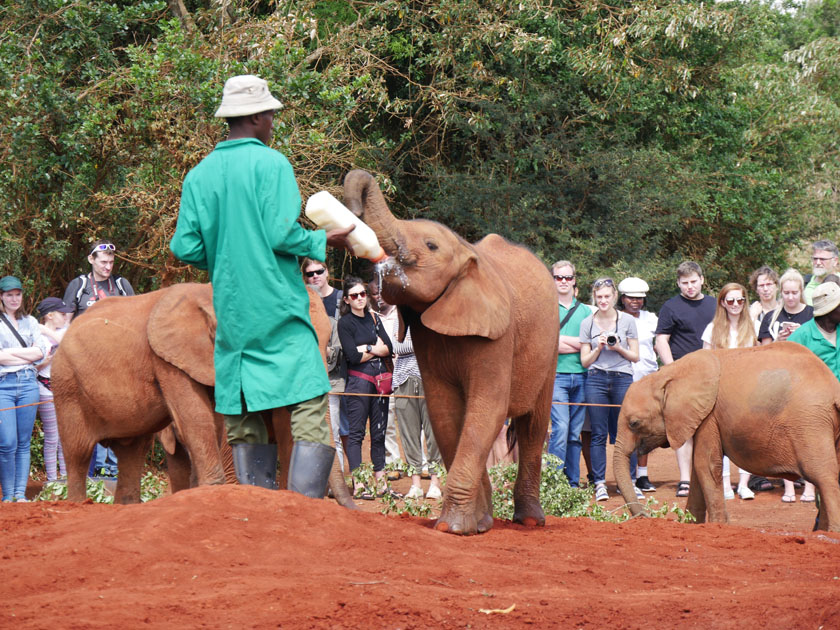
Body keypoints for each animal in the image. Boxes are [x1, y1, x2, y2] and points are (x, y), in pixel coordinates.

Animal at [51, 282, 354, 508]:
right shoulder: (167, 359)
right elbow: (197, 418)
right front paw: (215, 491)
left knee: (131, 452)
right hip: (66, 384)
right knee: (78, 452)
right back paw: (77, 505)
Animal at [612, 346, 840, 532]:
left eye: (634, 423)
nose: (647, 516)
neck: (668, 375)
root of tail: (833, 388)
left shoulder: (709, 415)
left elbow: (705, 465)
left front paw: (717, 527)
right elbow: (698, 470)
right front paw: (690, 525)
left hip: (810, 422)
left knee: (824, 477)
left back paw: (829, 535)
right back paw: (820, 533)